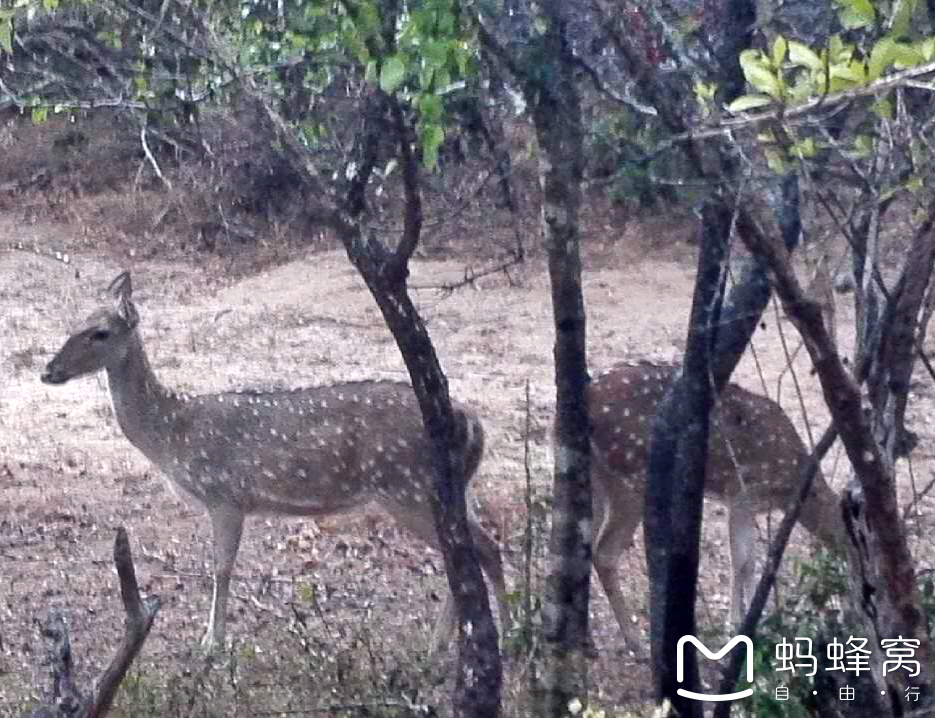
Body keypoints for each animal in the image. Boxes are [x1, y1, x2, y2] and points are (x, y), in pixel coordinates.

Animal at [588, 362, 844, 648]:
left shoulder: (749, 505)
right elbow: (741, 560)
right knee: (604, 552)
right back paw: (635, 640)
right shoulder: (742, 493)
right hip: (630, 476)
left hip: (599, 480)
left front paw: (757, 620)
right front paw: (737, 625)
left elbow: (750, 561)